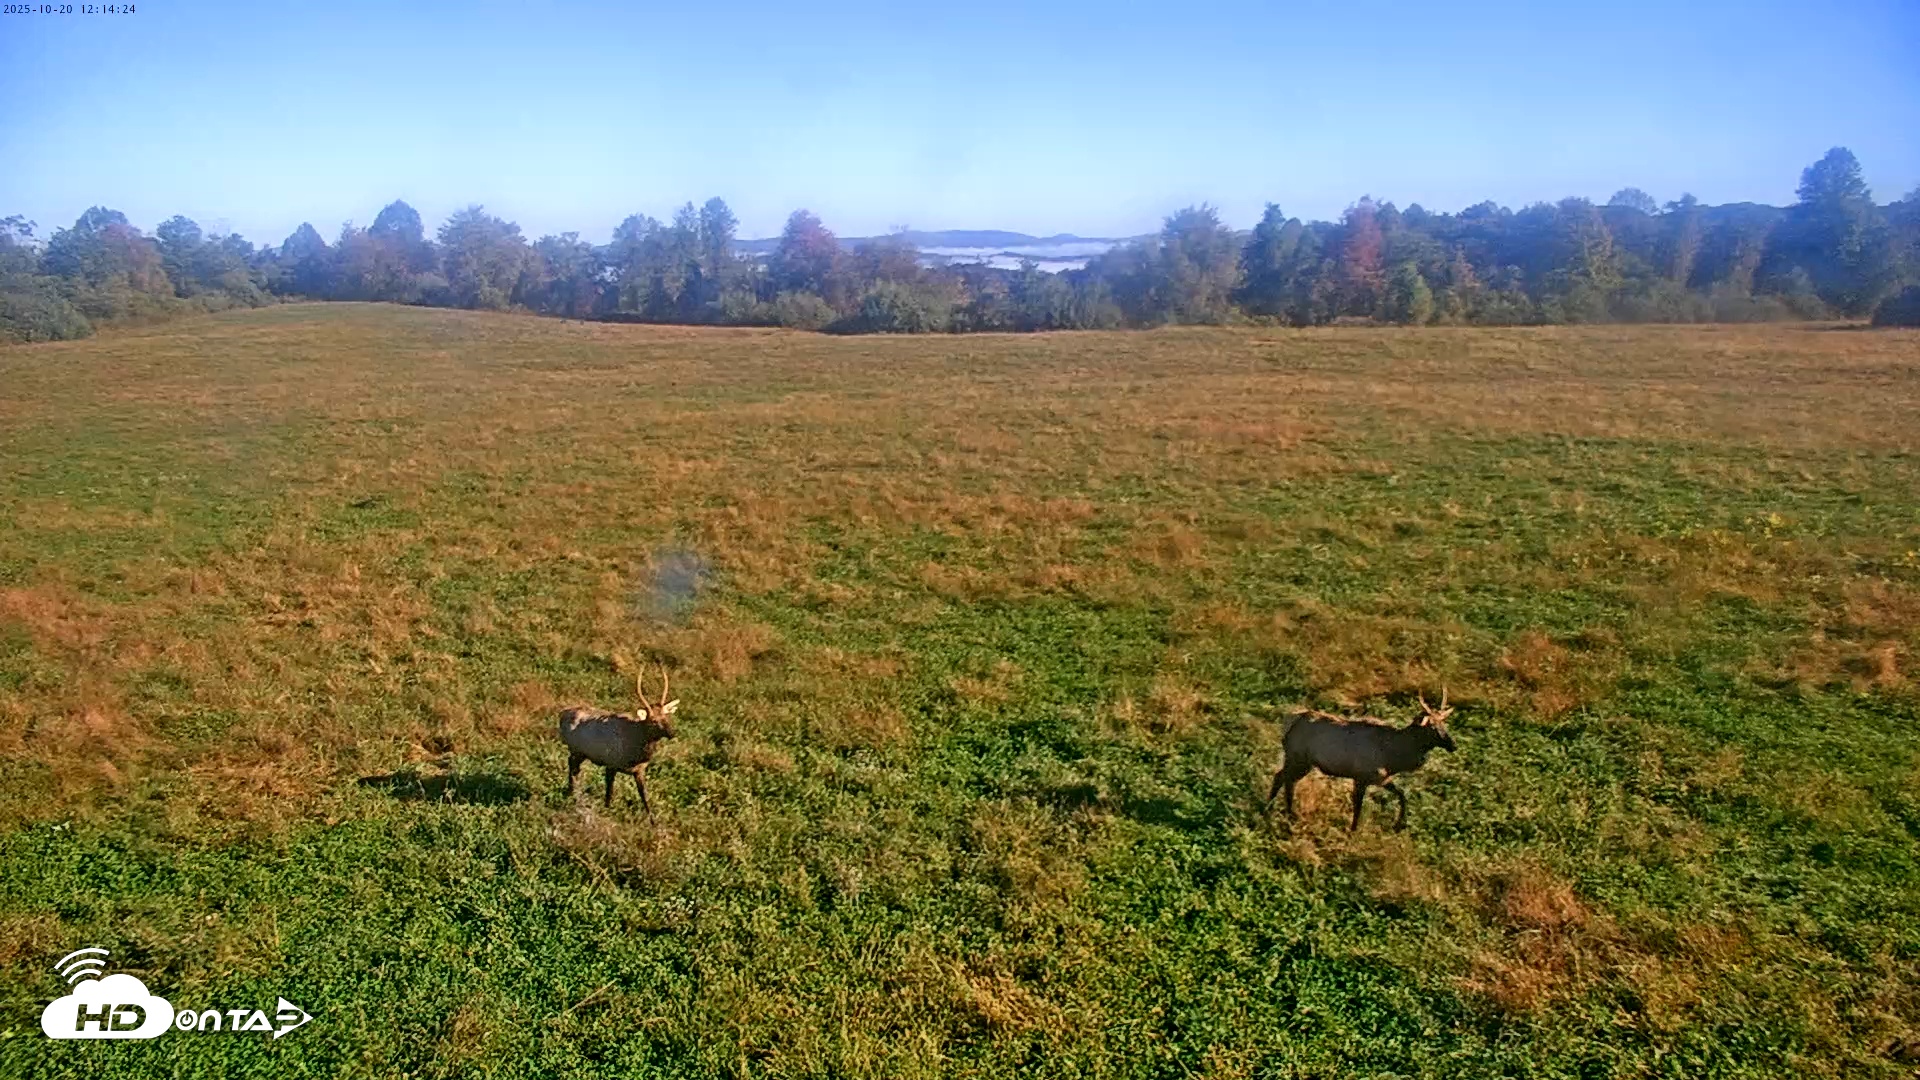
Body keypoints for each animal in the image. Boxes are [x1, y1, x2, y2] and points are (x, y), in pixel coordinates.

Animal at [558, 663, 677, 816]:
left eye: (666, 717)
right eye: (653, 721)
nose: (672, 733)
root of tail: (562, 714)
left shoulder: (639, 770)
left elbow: (644, 796)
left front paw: (652, 819)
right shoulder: (611, 764)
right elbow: (609, 792)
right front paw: (607, 811)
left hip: (580, 753)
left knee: (574, 769)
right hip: (576, 750)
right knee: (572, 767)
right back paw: (571, 793)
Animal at [1264, 691, 1455, 832]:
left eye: (1444, 724)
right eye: (1432, 727)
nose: (1453, 745)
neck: (1393, 756)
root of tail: (1289, 720)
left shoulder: (1380, 778)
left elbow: (1402, 794)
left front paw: (1399, 825)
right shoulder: (1362, 777)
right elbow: (1358, 806)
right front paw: (1353, 830)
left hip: (1304, 763)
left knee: (1286, 780)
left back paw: (1283, 811)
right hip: (1297, 758)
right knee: (1281, 778)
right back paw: (1275, 811)